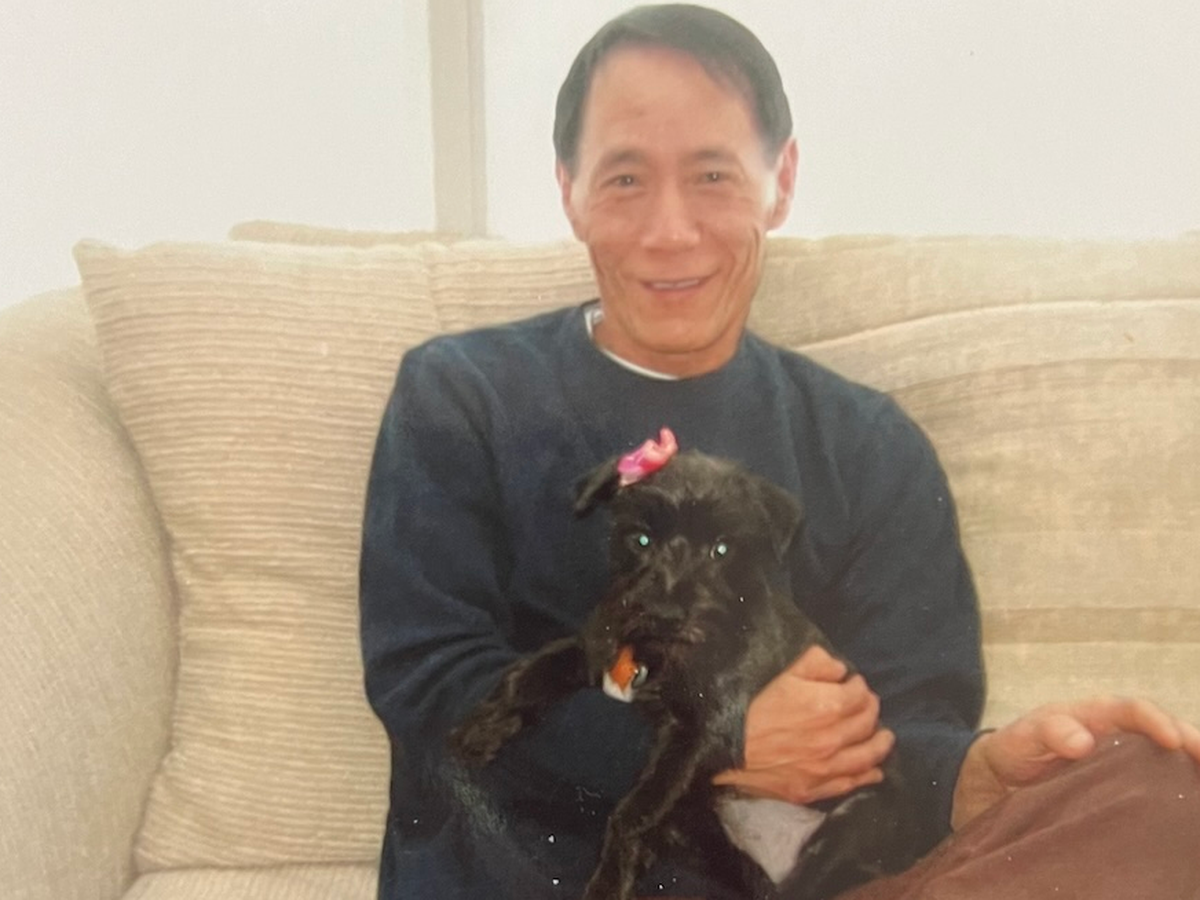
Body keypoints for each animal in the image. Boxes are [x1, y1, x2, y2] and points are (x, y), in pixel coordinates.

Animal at [449, 429, 928, 900]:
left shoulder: (702, 731)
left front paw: (609, 881)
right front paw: (482, 728)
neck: (660, 654)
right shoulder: (595, 648)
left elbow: (634, 812)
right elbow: (531, 672)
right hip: (703, 826)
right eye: (641, 539)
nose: (665, 614)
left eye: (722, 549)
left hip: (858, 819)